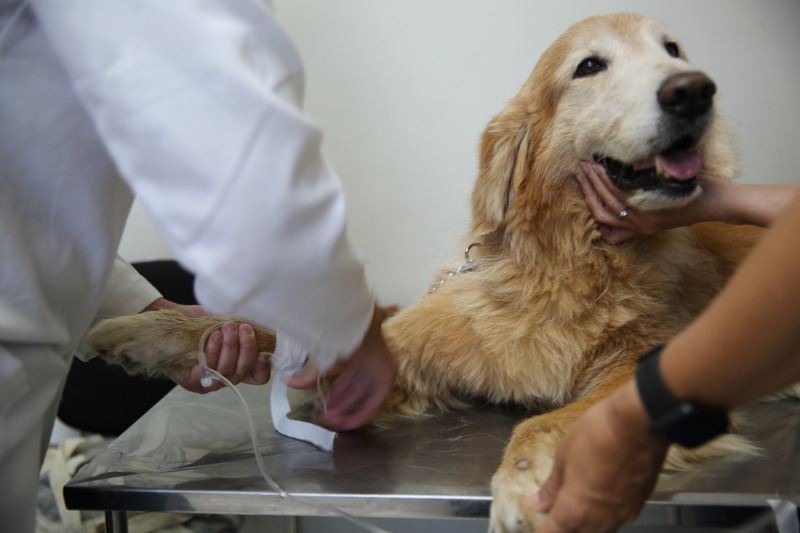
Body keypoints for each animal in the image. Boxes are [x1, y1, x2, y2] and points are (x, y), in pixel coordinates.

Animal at [87, 13, 768, 532]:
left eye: (672, 50)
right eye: (589, 67)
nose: (694, 90)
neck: (565, 264)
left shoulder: (653, 371)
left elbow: (552, 422)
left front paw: (524, 488)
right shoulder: (404, 349)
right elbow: (269, 332)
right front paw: (146, 334)